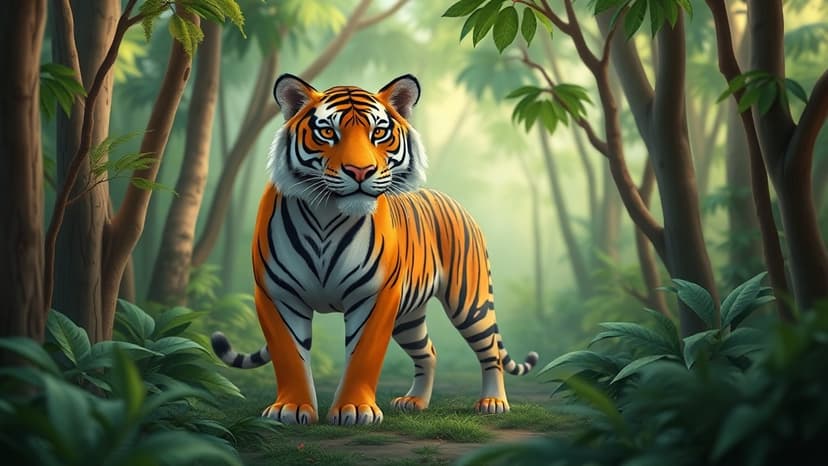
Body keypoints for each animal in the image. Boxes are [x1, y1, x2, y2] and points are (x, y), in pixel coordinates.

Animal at [210, 74, 538, 425]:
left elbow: (363, 354)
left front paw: (354, 409)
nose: (360, 171)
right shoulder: (277, 294)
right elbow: (289, 354)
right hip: (408, 316)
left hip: (469, 302)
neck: (326, 215)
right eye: (328, 132)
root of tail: (455, 203)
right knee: (428, 352)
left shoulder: (376, 296)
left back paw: (493, 402)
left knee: (489, 349)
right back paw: (415, 401)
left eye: (379, 133)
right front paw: (291, 408)